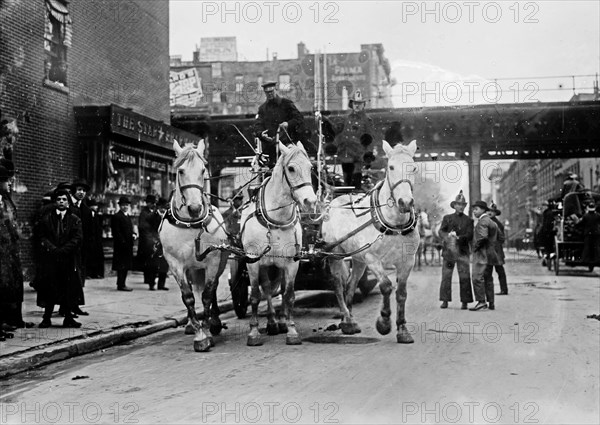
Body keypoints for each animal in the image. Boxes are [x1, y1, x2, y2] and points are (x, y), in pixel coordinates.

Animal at [159, 139, 230, 352]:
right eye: (181, 171)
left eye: (203, 170)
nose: (195, 208)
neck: (190, 224)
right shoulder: (175, 263)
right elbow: (188, 297)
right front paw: (199, 333)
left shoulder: (213, 261)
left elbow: (207, 295)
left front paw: (207, 330)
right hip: (190, 268)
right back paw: (192, 324)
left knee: (213, 289)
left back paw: (214, 321)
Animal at [241, 141, 318, 346]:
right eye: (291, 168)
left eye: (311, 167)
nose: (310, 202)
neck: (276, 219)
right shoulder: (253, 261)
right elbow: (254, 296)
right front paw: (254, 333)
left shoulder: (292, 262)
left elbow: (289, 295)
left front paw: (291, 330)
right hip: (265, 263)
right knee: (267, 289)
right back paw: (271, 322)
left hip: (278, 264)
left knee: (280, 289)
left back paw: (280, 321)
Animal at [322, 141, 420, 342]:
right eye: (391, 167)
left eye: (413, 167)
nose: (405, 202)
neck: (395, 225)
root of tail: (333, 201)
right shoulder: (372, 259)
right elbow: (386, 286)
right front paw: (384, 322)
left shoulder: (407, 260)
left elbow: (401, 293)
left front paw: (402, 329)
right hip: (335, 255)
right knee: (338, 286)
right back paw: (347, 319)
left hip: (358, 260)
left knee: (351, 284)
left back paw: (349, 321)